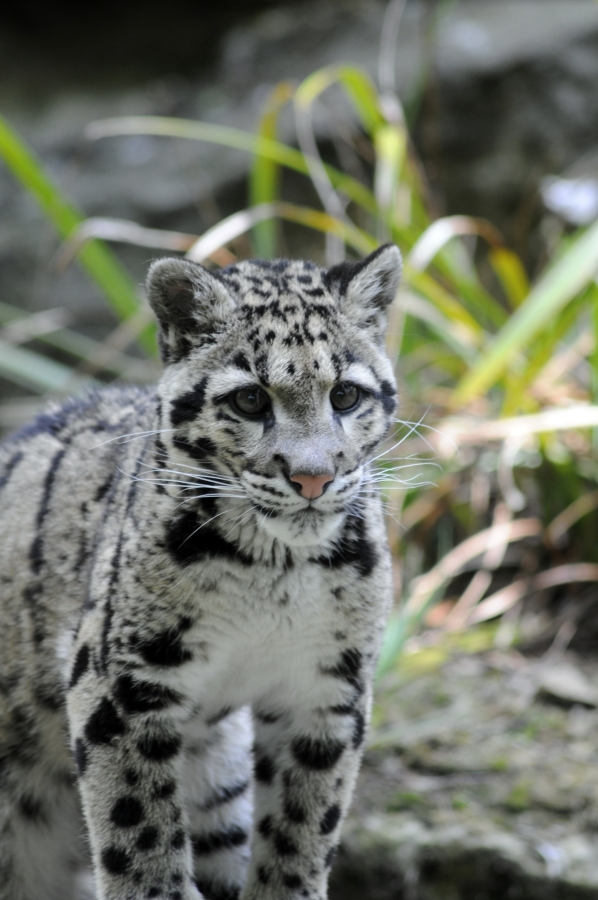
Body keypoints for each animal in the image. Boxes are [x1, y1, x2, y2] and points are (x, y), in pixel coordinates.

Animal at [0, 242, 402, 900]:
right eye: (249, 399)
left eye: (345, 395)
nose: (312, 477)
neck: (276, 577)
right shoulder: (122, 680)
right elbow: (138, 825)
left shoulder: (327, 685)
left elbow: (304, 821)